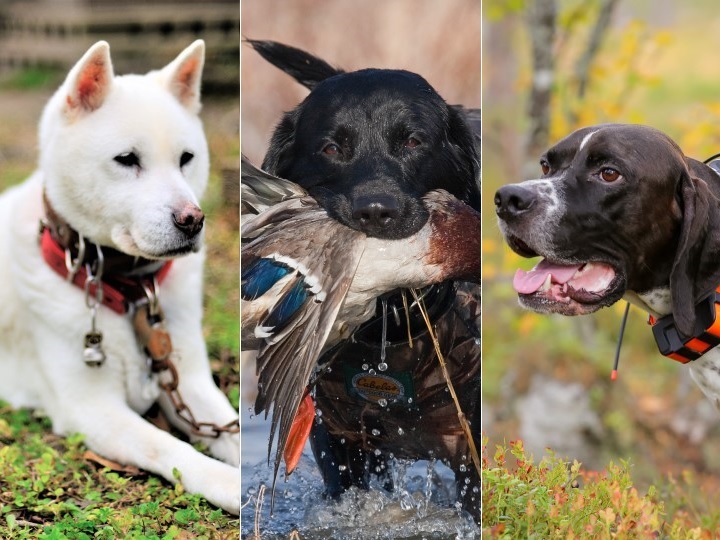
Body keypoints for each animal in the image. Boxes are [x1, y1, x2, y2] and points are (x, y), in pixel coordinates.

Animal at [0, 40, 239, 512]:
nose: (192, 220)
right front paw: (229, 484)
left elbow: (232, 425)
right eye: (127, 160)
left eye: (186, 159)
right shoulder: (91, 409)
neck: (130, 289)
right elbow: (169, 447)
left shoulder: (191, 383)